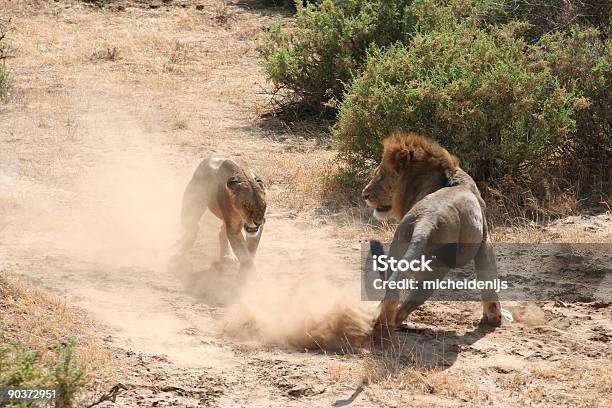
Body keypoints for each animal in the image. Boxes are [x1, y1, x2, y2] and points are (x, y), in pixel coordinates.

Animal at [364, 132, 502, 334]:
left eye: (380, 177)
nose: (364, 195)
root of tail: (425, 223)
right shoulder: (485, 239)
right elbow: (489, 278)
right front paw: (494, 319)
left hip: (399, 243)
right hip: (438, 266)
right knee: (408, 304)